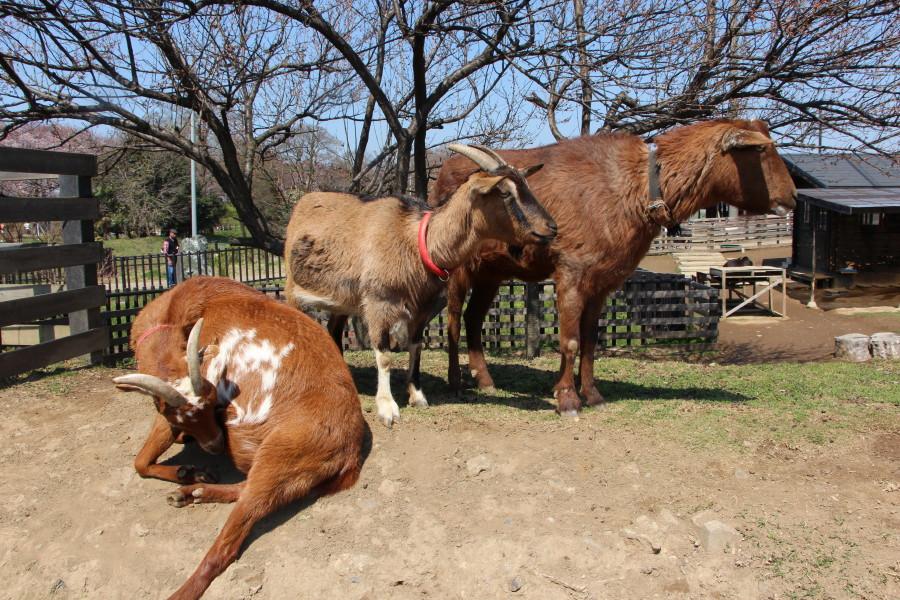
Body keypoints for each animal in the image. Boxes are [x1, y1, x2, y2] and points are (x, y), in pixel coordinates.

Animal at [113, 277, 367, 600]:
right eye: (185, 416)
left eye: (213, 403)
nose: (216, 445)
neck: (174, 315)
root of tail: (352, 450)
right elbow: (145, 460)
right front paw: (189, 470)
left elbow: (140, 463)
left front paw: (186, 469)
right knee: (247, 489)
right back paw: (193, 491)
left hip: (280, 455)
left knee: (229, 543)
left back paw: (184, 587)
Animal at [284, 144, 556, 428]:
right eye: (504, 192)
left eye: (526, 185)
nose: (551, 228)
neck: (418, 241)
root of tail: (304, 203)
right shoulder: (379, 304)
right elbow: (384, 355)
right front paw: (387, 408)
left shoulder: (422, 310)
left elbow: (416, 348)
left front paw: (417, 396)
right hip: (293, 290)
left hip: (343, 299)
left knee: (334, 331)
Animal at [433, 119, 797, 415]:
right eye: (760, 149)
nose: (793, 197)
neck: (635, 188)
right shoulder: (571, 271)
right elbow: (570, 340)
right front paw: (567, 399)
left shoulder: (603, 280)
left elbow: (591, 340)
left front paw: (592, 394)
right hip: (458, 266)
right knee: (453, 318)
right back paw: (455, 381)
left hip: (491, 271)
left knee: (473, 317)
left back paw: (485, 380)